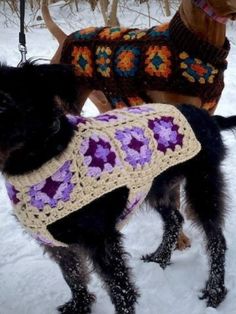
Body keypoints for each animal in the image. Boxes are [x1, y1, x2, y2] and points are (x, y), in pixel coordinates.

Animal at [0, 62, 236, 312]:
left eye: (4, 102)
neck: (45, 157)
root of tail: (209, 118)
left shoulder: (101, 240)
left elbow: (120, 290)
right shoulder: (58, 244)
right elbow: (72, 275)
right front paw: (80, 304)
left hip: (203, 186)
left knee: (216, 240)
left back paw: (215, 292)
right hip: (156, 188)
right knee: (175, 219)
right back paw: (160, 258)